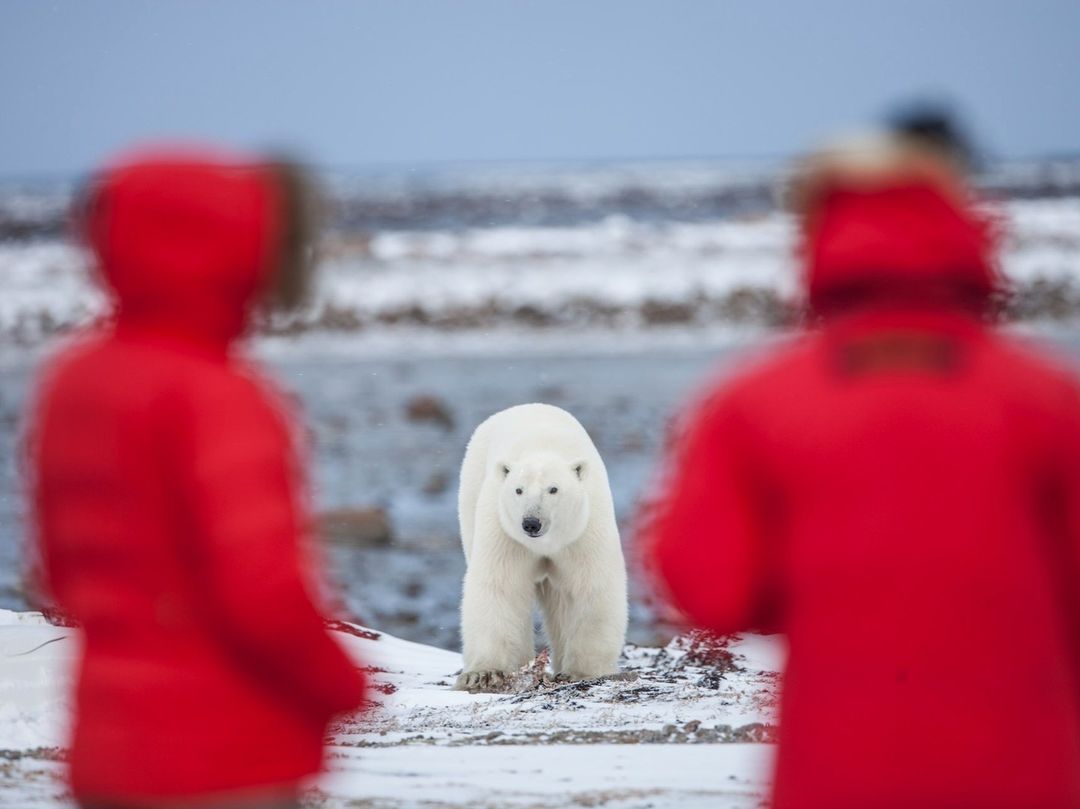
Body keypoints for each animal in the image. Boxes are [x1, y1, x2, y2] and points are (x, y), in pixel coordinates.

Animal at [454, 403, 628, 692]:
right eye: (518, 490)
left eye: (553, 489)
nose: (531, 523)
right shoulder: (505, 532)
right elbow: (500, 586)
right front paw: (483, 674)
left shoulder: (583, 530)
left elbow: (591, 585)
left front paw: (581, 672)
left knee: (560, 601)